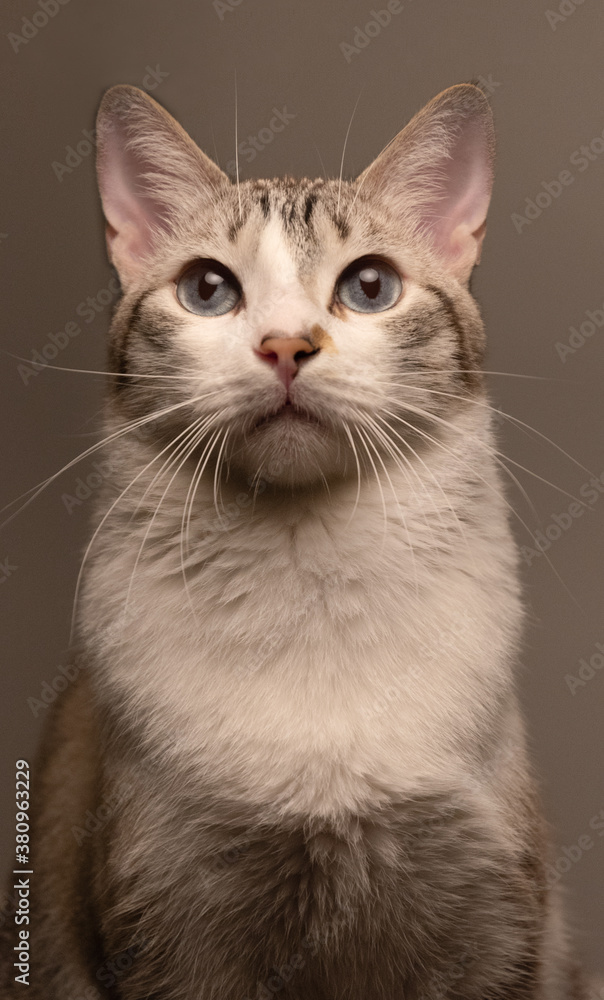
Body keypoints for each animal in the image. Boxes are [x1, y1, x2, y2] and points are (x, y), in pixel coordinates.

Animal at [0, 82, 596, 996]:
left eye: (370, 286)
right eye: (208, 290)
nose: (287, 345)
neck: (307, 573)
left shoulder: (494, 943)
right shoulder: (171, 940)